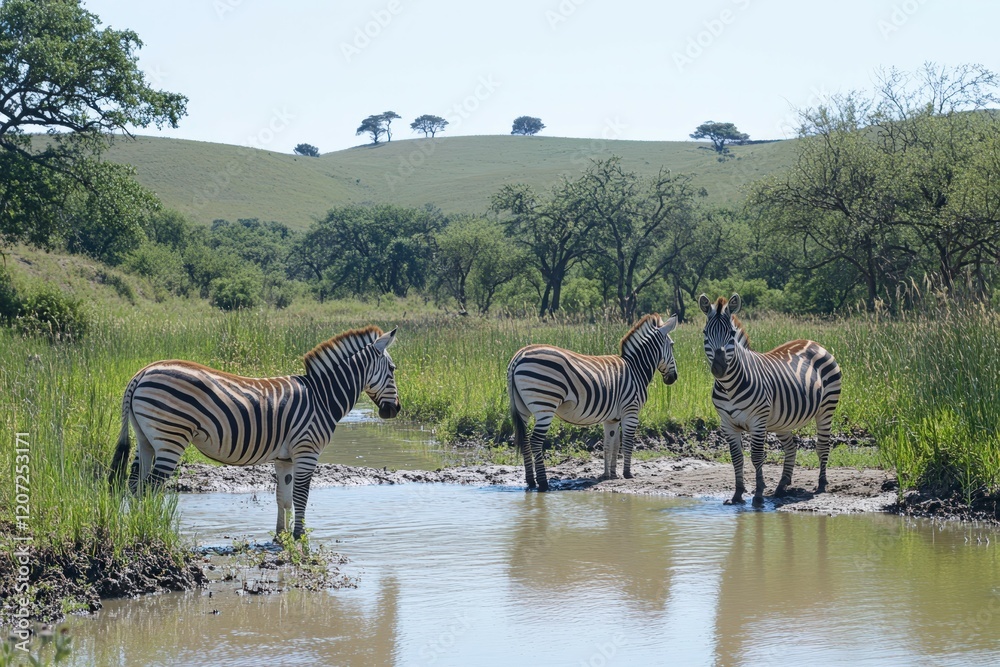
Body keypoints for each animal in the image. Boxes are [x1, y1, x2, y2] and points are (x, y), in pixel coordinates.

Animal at [109, 326, 400, 539]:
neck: (322, 397)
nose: (394, 410)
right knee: (150, 488)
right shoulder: (307, 451)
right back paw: (155, 530)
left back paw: (139, 527)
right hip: (171, 437)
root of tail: (142, 373)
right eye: (393, 369)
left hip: (146, 439)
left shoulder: (285, 458)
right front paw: (300, 537)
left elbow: (284, 498)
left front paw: (281, 536)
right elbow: (301, 496)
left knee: (135, 485)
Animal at [508, 314, 679, 492]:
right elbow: (627, 443)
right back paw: (543, 483)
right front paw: (627, 473)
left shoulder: (612, 418)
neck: (635, 368)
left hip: (522, 408)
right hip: (545, 405)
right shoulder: (631, 411)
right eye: (672, 345)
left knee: (525, 440)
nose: (673, 378)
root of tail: (519, 355)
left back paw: (530, 481)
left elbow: (611, 445)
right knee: (535, 441)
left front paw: (610, 474)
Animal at [699, 294, 842, 507]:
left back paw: (822, 484)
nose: (719, 368)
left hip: (826, 409)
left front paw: (758, 495)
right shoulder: (727, 424)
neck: (729, 386)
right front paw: (737, 495)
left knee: (823, 445)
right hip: (782, 420)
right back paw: (782, 486)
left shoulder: (757, 421)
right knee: (791, 447)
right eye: (705, 332)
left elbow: (757, 457)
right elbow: (736, 458)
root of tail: (813, 342)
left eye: (731, 333)